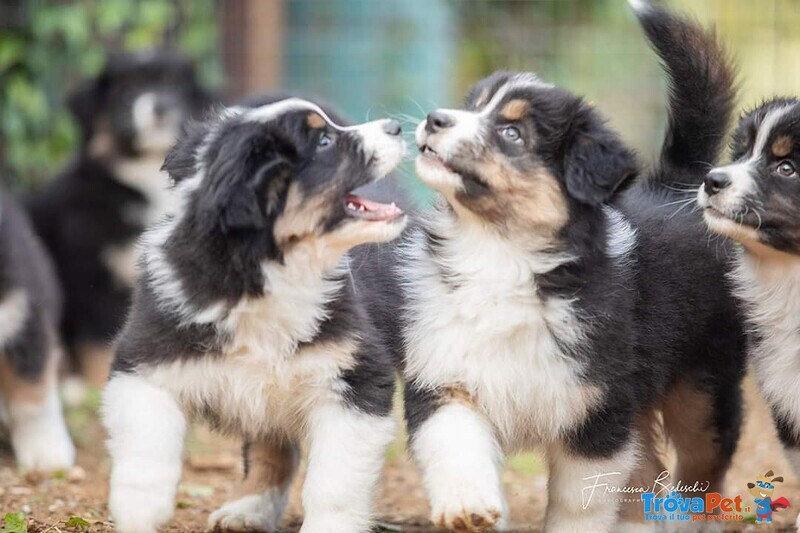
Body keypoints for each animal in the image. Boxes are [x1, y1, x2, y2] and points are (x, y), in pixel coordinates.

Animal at [101, 96, 410, 532]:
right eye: (325, 141)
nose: (396, 127)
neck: (263, 276)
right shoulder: (144, 359)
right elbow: (146, 443)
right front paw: (139, 511)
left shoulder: (357, 379)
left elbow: (334, 481)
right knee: (271, 449)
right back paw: (248, 509)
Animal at [404, 2, 748, 528]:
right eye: (474, 105)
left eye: (512, 133)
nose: (435, 119)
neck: (499, 251)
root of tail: (677, 186)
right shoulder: (446, 375)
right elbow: (454, 442)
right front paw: (467, 507)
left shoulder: (597, 412)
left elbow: (578, 502)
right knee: (647, 468)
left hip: (704, 388)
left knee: (701, 467)